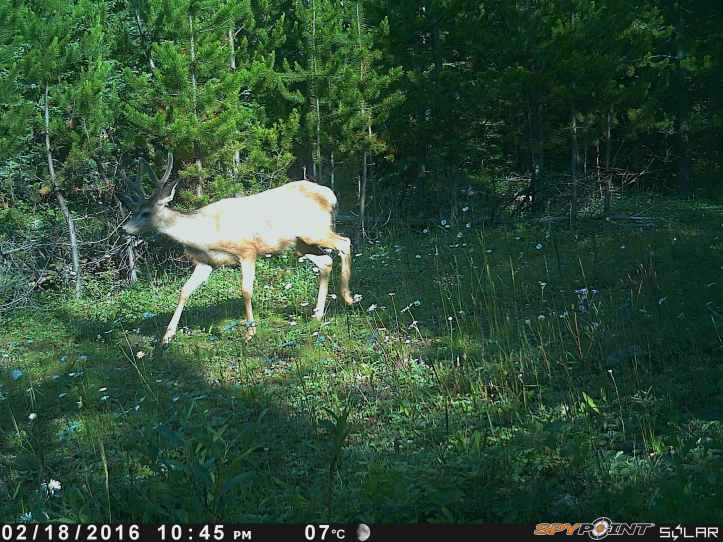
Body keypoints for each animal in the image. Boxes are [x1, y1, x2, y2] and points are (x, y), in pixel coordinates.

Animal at [119, 153, 355, 345]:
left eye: (146, 213)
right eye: (135, 209)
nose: (124, 229)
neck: (204, 233)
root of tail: (330, 195)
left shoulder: (247, 250)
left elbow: (246, 290)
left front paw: (250, 332)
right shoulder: (206, 262)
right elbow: (185, 290)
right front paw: (167, 336)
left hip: (314, 230)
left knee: (344, 242)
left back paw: (348, 297)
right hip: (301, 243)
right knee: (326, 261)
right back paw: (317, 315)